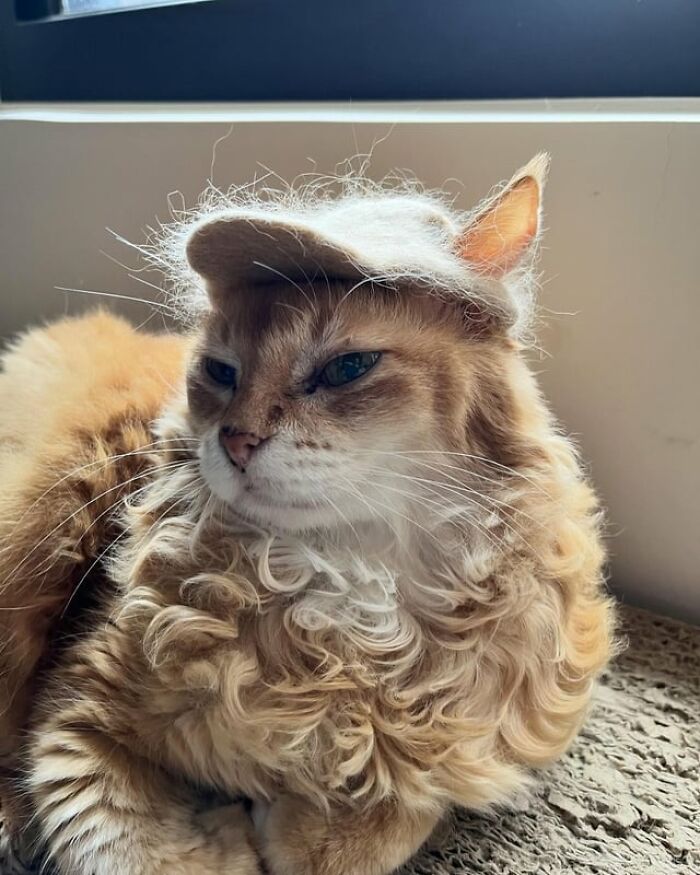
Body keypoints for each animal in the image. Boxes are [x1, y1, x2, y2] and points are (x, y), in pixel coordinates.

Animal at [0, 154, 612, 872]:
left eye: (347, 367)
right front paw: (231, 834)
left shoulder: (467, 740)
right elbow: (130, 846)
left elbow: (385, 818)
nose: (234, 439)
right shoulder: (78, 712)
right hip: (44, 530)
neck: (341, 583)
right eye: (220, 372)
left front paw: (299, 819)